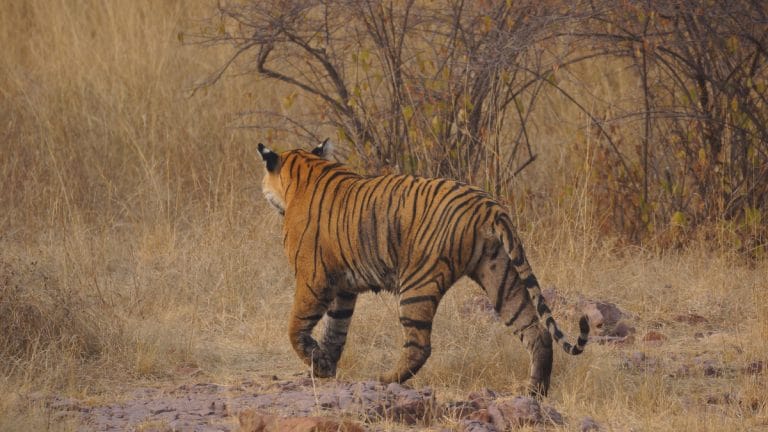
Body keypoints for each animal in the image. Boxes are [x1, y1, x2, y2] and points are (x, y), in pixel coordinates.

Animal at [256, 139, 589, 396]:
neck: (306, 170)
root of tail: (488, 206)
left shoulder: (313, 279)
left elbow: (296, 327)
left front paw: (315, 362)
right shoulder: (344, 289)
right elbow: (335, 330)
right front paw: (324, 366)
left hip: (417, 283)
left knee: (420, 345)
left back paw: (385, 380)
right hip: (500, 276)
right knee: (537, 331)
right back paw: (534, 392)